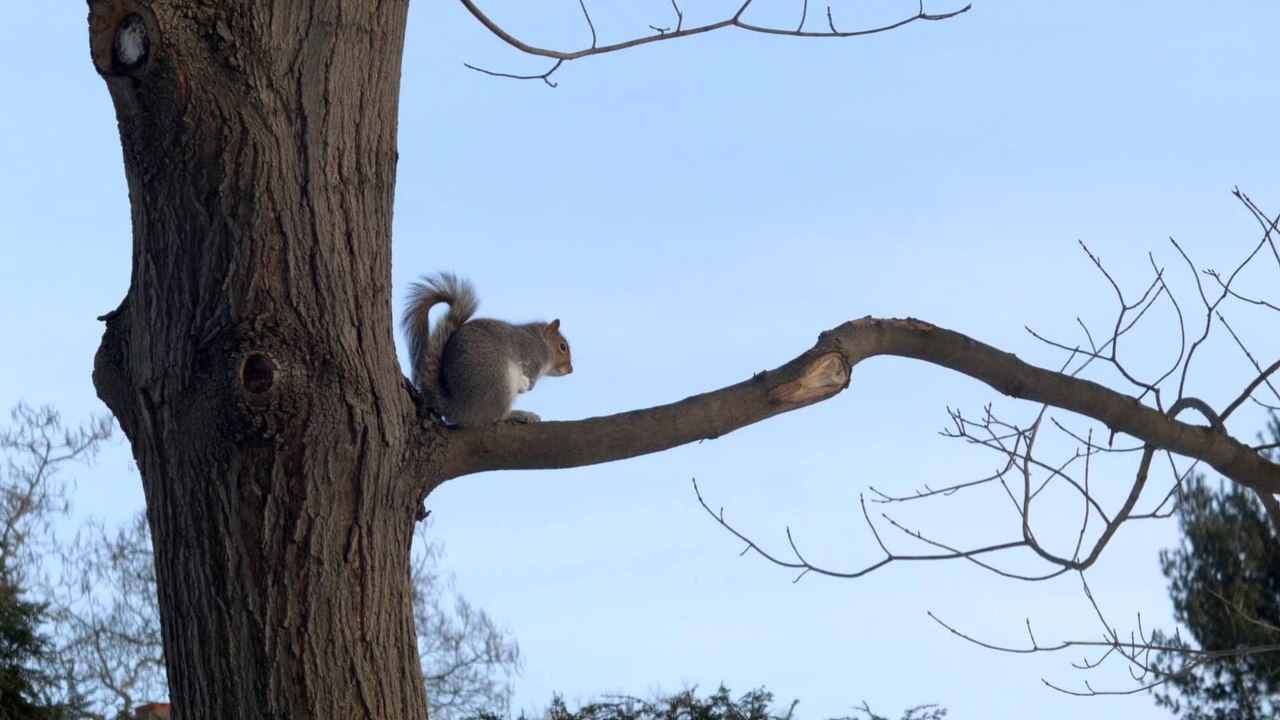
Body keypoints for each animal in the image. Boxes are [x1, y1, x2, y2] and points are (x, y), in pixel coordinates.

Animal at [401, 272, 573, 427]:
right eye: (562, 347)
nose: (570, 370)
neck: (540, 341)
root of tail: (460, 409)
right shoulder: (530, 354)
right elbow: (529, 374)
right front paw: (528, 386)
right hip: (499, 381)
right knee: (495, 417)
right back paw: (520, 414)